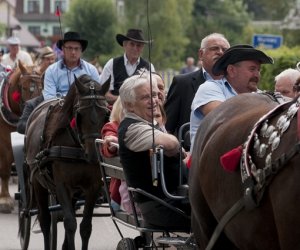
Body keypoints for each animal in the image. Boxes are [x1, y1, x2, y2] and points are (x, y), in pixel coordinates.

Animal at [24, 74, 109, 250]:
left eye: (105, 113)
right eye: (79, 114)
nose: (94, 156)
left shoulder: (93, 187)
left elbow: (85, 227)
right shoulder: (62, 185)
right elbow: (70, 223)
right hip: (38, 183)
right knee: (45, 220)